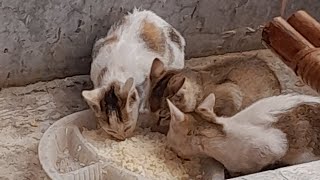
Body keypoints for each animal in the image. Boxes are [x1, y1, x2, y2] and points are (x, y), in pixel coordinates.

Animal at [81, 8, 185, 140]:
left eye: (127, 127)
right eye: (111, 131)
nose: (122, 139)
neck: (114, 72)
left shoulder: (146, 76)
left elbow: (145, 93)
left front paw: (143, 109)